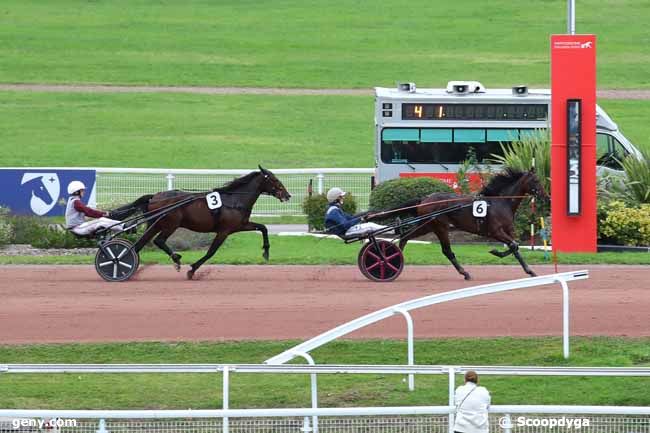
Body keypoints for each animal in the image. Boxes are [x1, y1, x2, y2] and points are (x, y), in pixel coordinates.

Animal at [112, 165, 290, 280]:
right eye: (274, 179)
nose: (287, 195)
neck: (234, 200)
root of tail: (154, 196)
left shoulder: (240, 225)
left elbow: (263, 228)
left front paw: (266, 252)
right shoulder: (225, 231)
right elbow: (211, 252)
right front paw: (192, 270)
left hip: (157, 224)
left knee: (140, 244)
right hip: (170, 224)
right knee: (158, 241)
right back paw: (175, 259)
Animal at [392, 167, 544, 278]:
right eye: (536, 180)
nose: (545, 195)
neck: (501, 202)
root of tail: (424, 199)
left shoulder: (508, 231)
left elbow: (515, 247)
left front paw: (530, 271)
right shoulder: (495, 232)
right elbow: (513, 245)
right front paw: (496, 252)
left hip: (427, 226)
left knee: (405, 236)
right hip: (439, 227)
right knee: (446, 250)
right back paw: (464, 272)